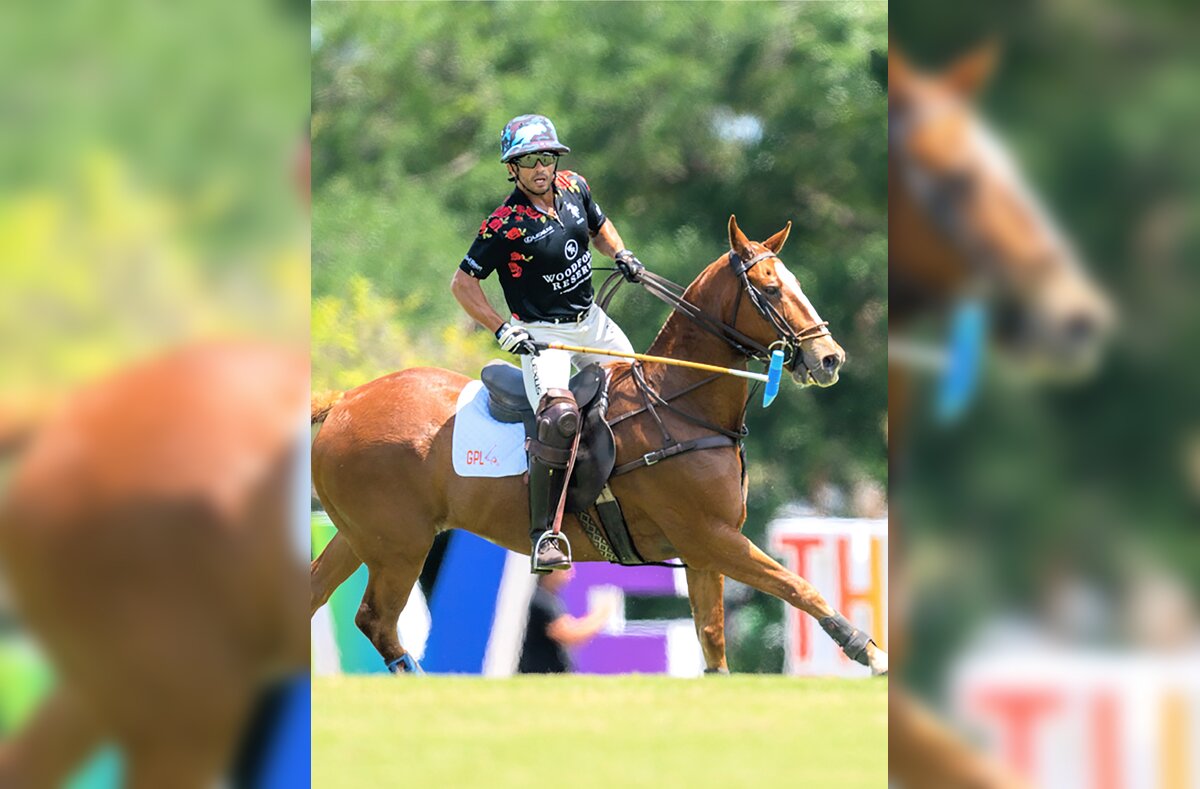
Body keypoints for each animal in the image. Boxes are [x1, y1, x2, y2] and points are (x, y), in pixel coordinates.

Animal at [310, 215, 888, 677]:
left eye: (794, 283)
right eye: (768, 289)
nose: (830, 358)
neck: (680, 405)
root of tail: (343, 399)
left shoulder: (702, 551)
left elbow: (713, 641)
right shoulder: (710, 536)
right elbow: (798, 586)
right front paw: (869, 650)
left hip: (363, 536)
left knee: (320, 598)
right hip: (400, 543)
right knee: (376, 619)